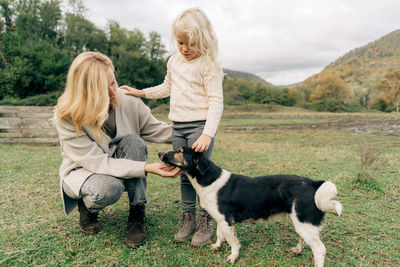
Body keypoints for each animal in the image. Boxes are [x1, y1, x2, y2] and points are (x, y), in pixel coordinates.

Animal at [158, 148, 342, 266]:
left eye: (180, 151)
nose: (159, 153)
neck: (209, 179)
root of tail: (313, 183)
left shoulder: (227, 221)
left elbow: (233, 242)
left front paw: (232, 257)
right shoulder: (221, 219)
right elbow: (219, 235)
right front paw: (217, 246)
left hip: (304, 223)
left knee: (320, 249)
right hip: (301, 223)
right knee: (304, 240)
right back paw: (296, 250)